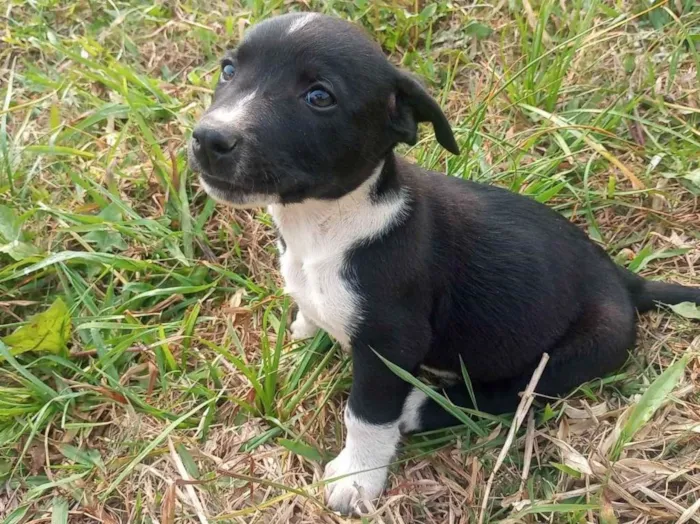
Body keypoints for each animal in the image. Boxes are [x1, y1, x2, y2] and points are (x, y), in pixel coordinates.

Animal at [189, 12, 700, 516]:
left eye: (319, 97)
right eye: (228, 70)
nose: (208, 138)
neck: (326, 226)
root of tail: (622, 281)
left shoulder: (390, 343)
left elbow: (366, 414)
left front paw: (356, 479)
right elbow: (309, 316)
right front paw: (301, 336)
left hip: (576, 352)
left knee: (509, 394)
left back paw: (420, 408)